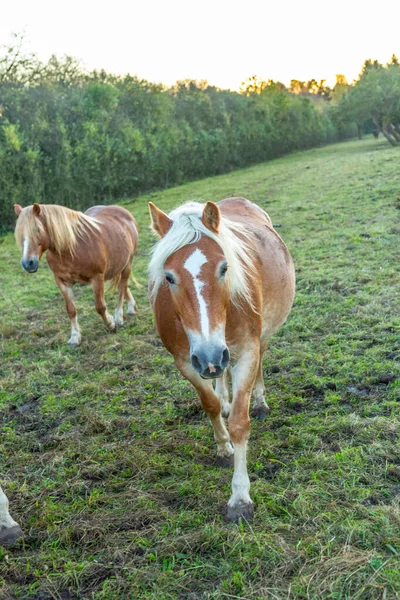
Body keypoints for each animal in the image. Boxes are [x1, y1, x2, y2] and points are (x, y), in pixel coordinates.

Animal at [14, 203, 139, 346]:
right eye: (20, 234)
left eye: (38, 230)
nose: (27, 263)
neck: (72, 247)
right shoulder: (62, 282)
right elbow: (71, 310)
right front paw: (74, 337)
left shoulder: (97, 278)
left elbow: (100, 307)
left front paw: (111, 324)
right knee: (123, 285)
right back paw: (131, 307)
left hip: (128, 263)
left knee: (122, 286)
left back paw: (119, 317)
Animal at [148, 197, 296, 520]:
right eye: (169, 277)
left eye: (224, 267)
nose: (210, 355)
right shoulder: (186, 362)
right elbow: (210, 404)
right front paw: (223, 447)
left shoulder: (245, 352)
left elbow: (241, 424)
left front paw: (240, 496)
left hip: (254, 340)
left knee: (260, 360)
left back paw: (260, 401)